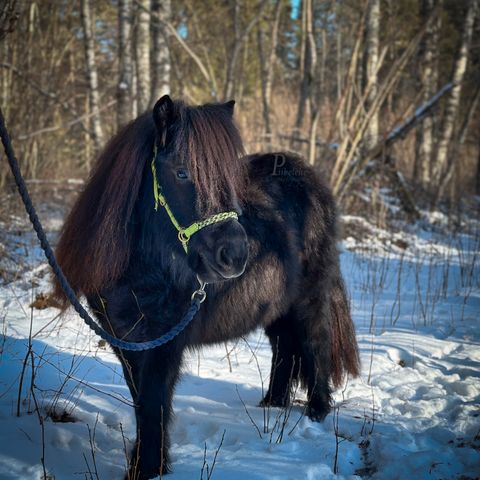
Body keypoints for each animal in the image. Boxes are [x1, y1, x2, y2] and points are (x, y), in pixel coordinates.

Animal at [53, 95, 360, 478]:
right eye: (182, 173)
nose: (235, 254)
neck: (144, 270)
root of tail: (308, 179)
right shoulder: (127, 342)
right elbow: (141, 403)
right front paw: (145, 464)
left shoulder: (165, 345)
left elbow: (153, 404)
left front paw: (149, 468)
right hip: (276, 309)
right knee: (284, 348)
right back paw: (271, 406)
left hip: (309, 300)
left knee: (315, 344)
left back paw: (316, 414)